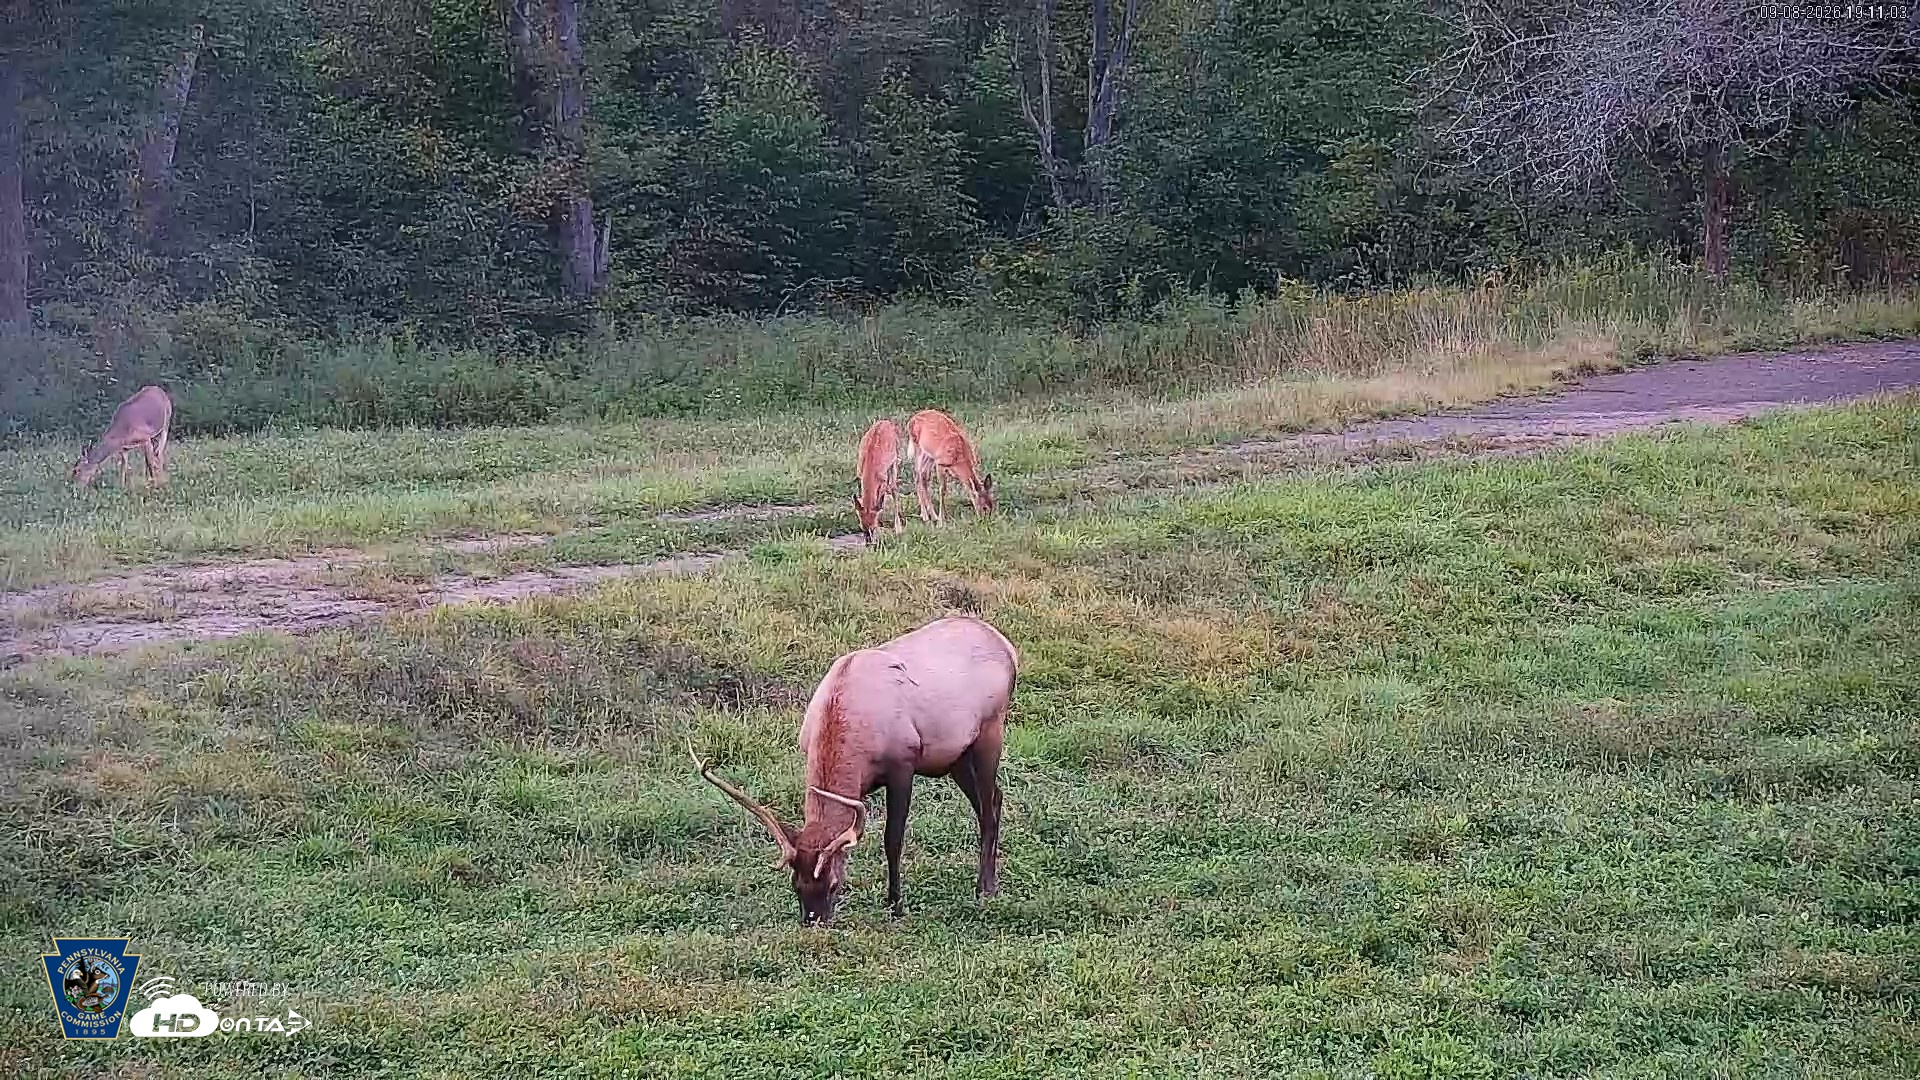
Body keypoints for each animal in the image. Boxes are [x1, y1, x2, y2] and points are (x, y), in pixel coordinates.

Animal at [691, 615, 1019, 926]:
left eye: (834, 884)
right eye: (796, 886)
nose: (814, 921)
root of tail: (1009, 649)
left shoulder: (903, 765)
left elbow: (892, 839)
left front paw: (895, 904)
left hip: (990, 731)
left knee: (988, 807)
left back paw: (985, 887)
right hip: (955, 757)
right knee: (995, 798)